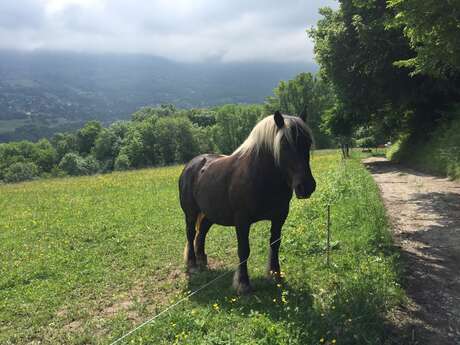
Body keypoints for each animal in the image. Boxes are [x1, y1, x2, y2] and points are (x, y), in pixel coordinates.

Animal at [179, 111, 316, 294]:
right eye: (284, 145)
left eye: (307, 143)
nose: (306, 186)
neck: (261, 176)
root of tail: (191, 164)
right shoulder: (242, 221)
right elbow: (244, 250)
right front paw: (243, 284)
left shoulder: (279, 217)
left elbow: (275, 244)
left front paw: (275, 275)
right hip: (191, 213)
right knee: (190, 234)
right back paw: (193, 265)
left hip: (210, 214)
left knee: (201, 233)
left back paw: (202, 261)